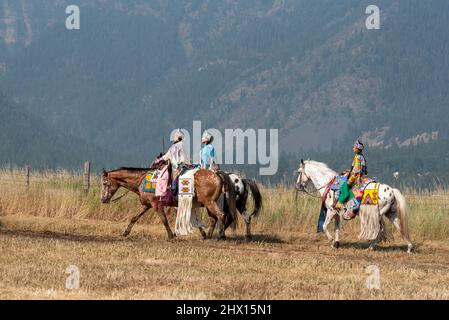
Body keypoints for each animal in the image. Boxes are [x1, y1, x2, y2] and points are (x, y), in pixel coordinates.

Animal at [100, 166, 236, 239]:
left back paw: (220, 235)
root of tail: (216, 174)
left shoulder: (156, 204)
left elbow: (164, 219)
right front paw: (125, 233)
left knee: (221, 216)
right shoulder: (146, 205)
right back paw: (208, 236)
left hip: (209, 203)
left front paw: (171, 235)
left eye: (105, 183)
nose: (103, 199)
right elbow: (134, 218)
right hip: (209, 204)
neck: (141, 180)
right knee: (214, 219)